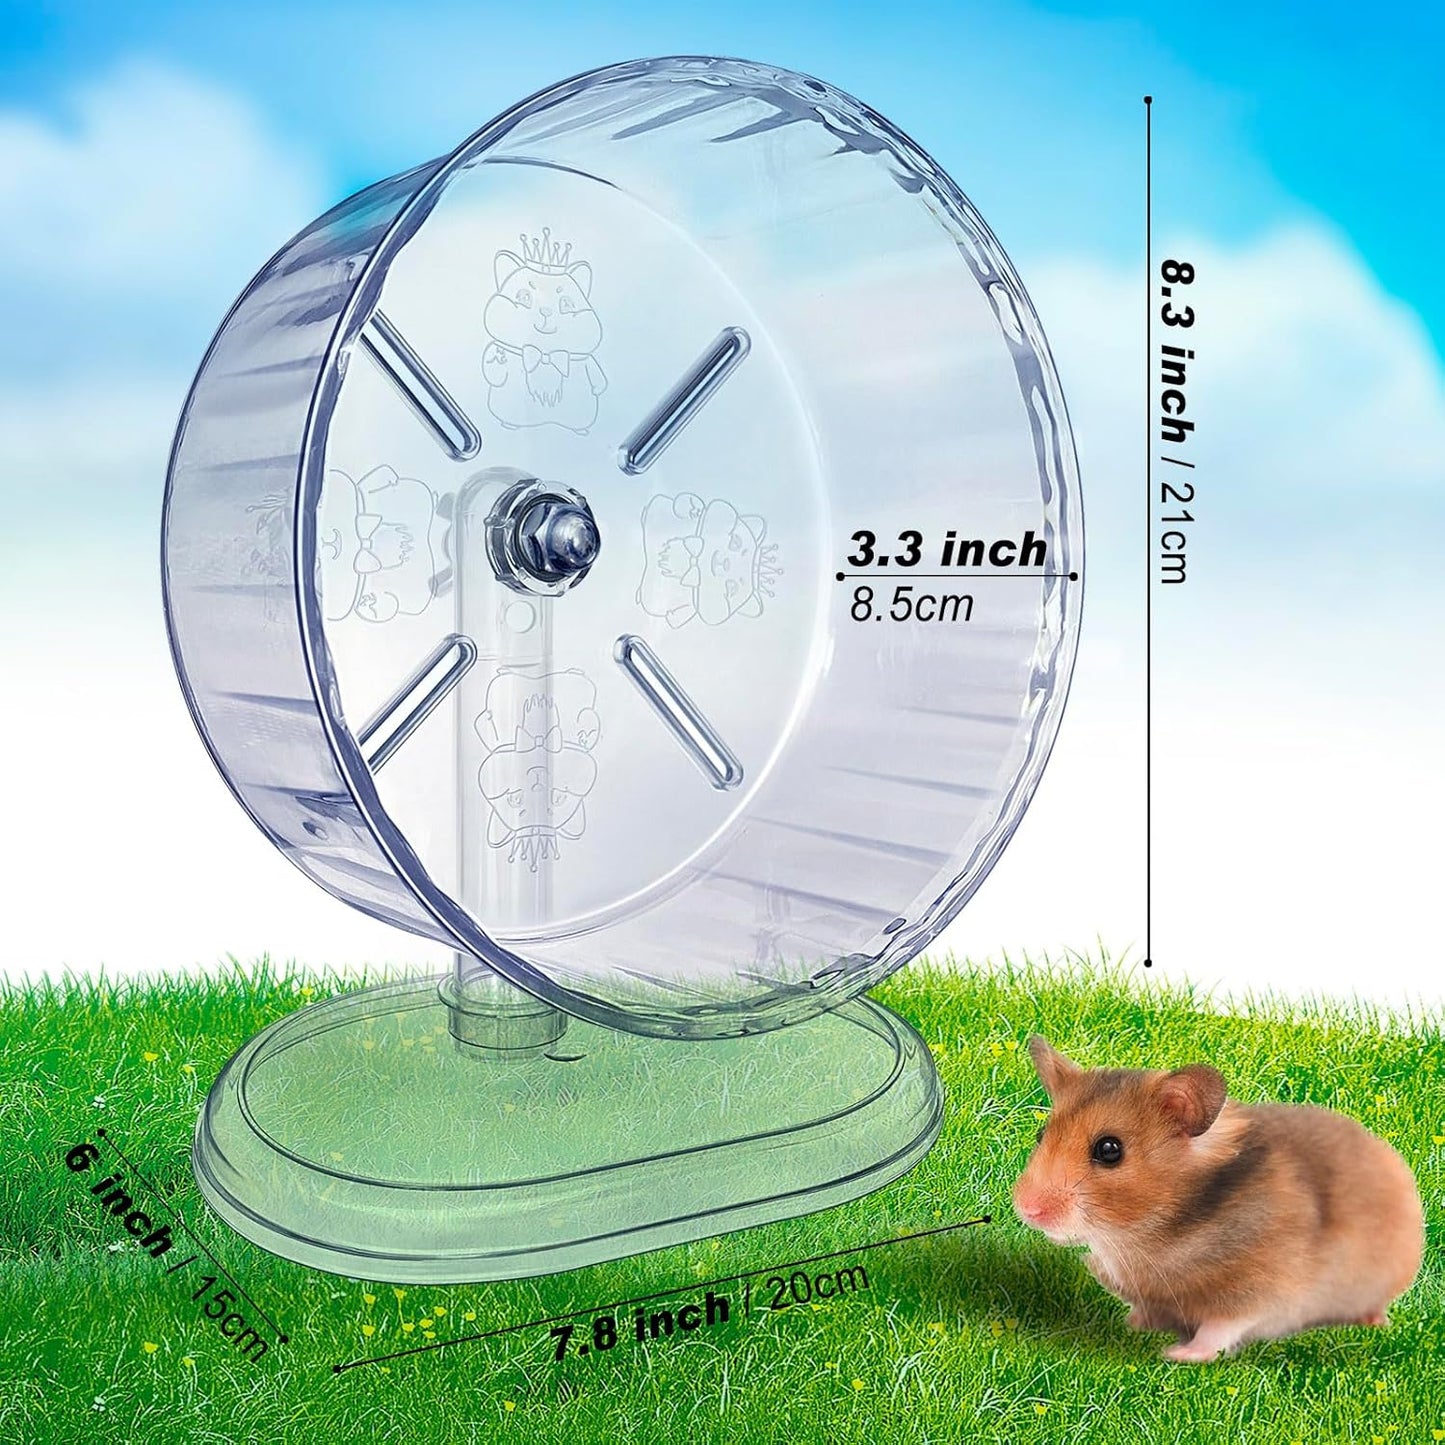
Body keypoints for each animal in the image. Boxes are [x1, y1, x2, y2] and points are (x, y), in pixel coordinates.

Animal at [1012, 1036, 1424, 1362]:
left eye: (1109, 1150)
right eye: (1040, 1134)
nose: (1027, 1209)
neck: (1147, 1235)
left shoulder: (1260, 1289)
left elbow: (1221, 1327)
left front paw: (1177, 1354)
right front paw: (1132, 1325)